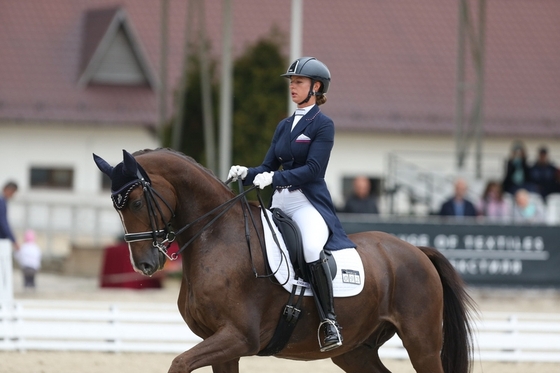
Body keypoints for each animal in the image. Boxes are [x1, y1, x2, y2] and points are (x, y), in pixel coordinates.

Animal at [94, 148, 474, 372]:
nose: (144, 265)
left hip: (422, 344)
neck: (215, 235)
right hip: (356, 350)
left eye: (137, 203)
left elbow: (178, 363)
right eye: (117, 207)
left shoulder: (238, 337)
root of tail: (417, 251)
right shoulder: (223, 345)